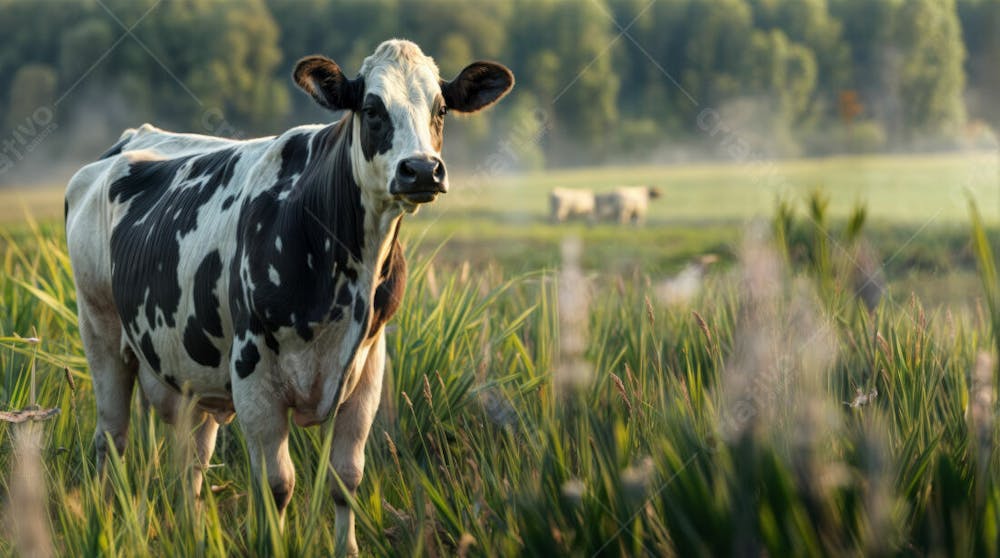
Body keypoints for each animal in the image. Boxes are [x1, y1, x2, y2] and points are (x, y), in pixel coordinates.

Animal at [66, 40, 512, 558]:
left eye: (441, 109)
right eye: (371, 109)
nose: (421, 169)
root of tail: (129, 139)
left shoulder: (368, 366)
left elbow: (346, 478)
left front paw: (347, 548)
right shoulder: (253, 370)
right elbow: (277, 484)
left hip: (192, 372)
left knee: (192, 461)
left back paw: (194, 534)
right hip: (100, 329)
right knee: (111, 440)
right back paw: (101, 519)